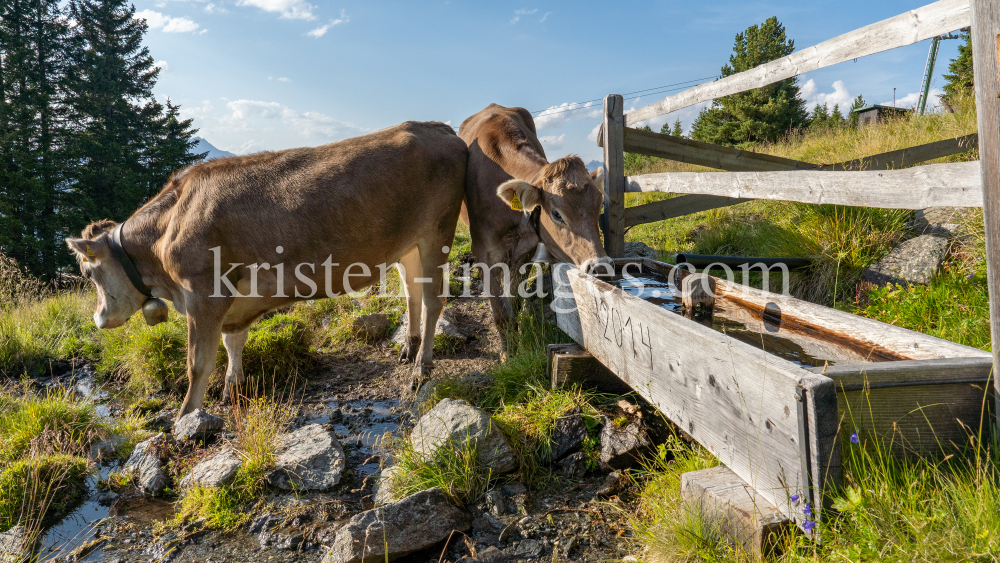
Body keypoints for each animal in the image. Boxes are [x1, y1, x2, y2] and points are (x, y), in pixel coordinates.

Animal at [68, 121, 466, 416]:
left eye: (89, 274)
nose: (99, 319)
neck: (166, 229)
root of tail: (435, 126)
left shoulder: (203, 294)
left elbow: (198, 363)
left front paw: (187, 416)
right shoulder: (234, 303)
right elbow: (232, 342)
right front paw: (232, 388)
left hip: (437, 232)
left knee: (434, 300)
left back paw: (421, 368)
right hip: (409, 244)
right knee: (413, 291)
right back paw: (409, 349)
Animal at [458, 103, 608, 338]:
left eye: (598, 206)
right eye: (557, 214)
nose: (600, 267)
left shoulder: (526, 250)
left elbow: (514, 301)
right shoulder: (485, 252)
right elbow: (502, 315)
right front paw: (508, 348)